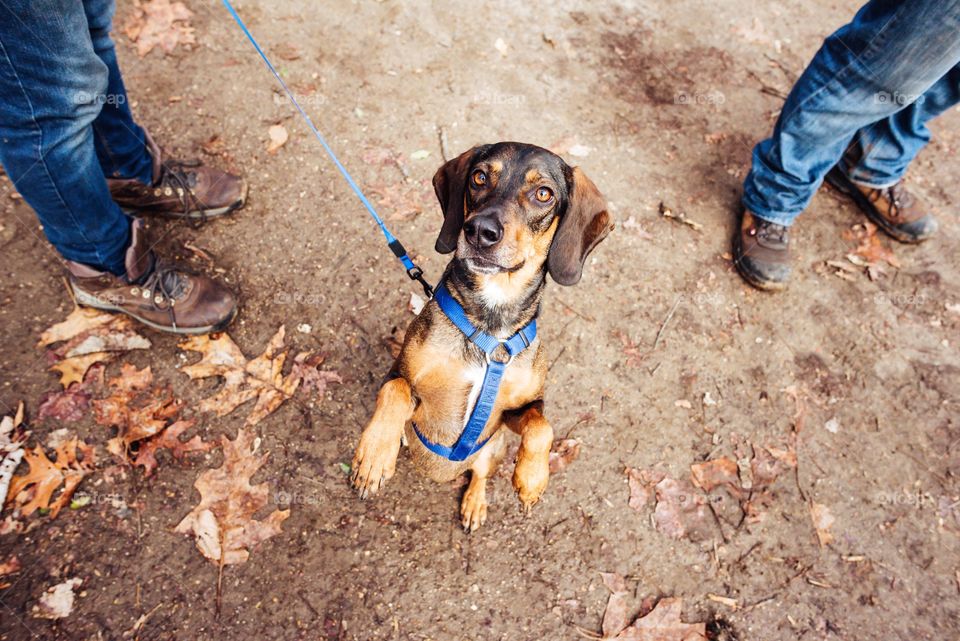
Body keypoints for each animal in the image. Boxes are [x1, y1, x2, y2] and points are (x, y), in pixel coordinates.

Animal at [348, 141, 612, 528]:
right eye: (479, 177)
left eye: (543, 193)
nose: (479, 230)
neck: (490, 323)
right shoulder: (401, 375)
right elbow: (395, 392)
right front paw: (375, 455)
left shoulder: (516, 410)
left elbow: (542, 427)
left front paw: (532, 478)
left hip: (494, 447)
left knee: (480, 473)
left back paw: (475, 503)